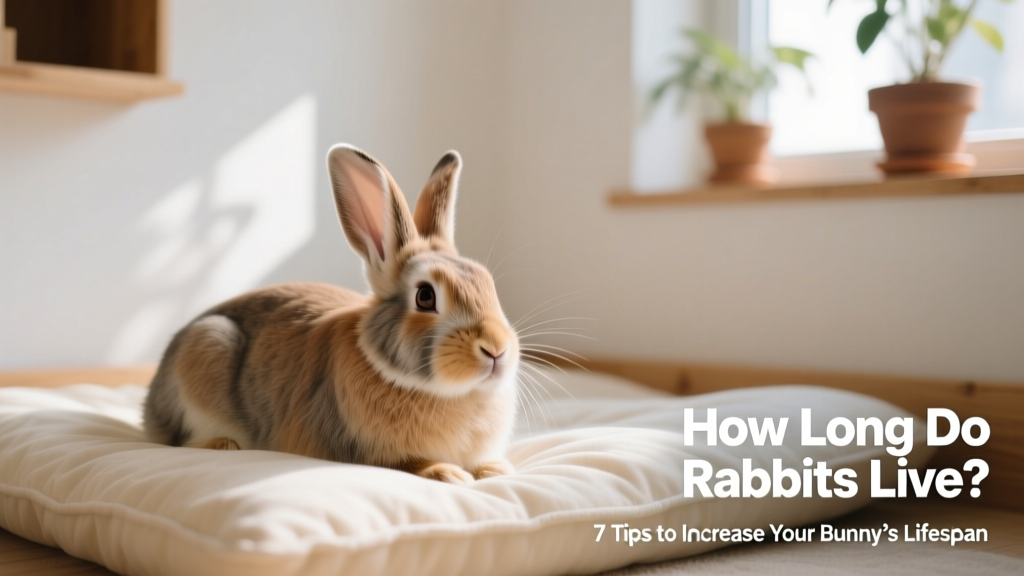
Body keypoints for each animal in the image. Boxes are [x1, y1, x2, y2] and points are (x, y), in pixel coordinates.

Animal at [142, 144, 519, 484]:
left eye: (488, 284)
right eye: (425, 297)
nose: (496, 349)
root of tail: (151, 407)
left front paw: (497, 470)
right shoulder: (364, 450)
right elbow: (408, 464)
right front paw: (447, 473)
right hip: (208, 345)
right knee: (184, 441)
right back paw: (224, 445)